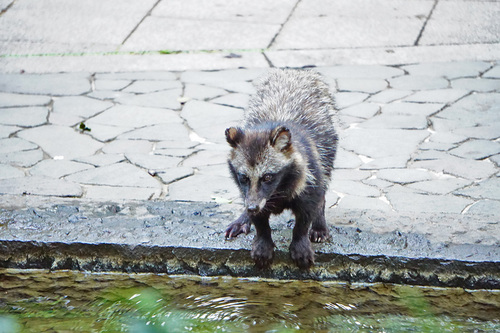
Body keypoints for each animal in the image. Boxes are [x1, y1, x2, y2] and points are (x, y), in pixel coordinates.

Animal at [225, 68, 338, 268]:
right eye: (244, 177)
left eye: (267, 177)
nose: (252, 207)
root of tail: (294, 71)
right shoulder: (248, 191)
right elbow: (258, 217)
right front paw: (262, 236)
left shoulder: (309, 172)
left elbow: (307, 210)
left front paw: (300, 239)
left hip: (328, 141)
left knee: (324, 180)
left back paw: (319, 220)